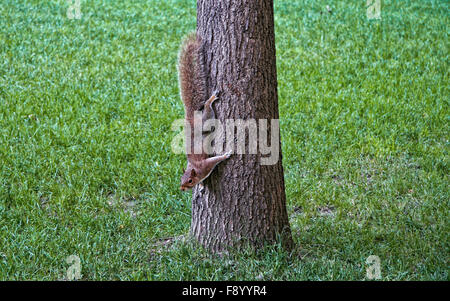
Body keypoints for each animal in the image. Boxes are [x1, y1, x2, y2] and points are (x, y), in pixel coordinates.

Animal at [178, 34, 232, 190]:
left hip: (204, 122)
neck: (194, 168)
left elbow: (215, 160)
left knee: (208, 111)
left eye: (190, 180)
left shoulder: (205, 166)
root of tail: (190, 116)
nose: (182, 188)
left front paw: (226, 155)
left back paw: (211, 100)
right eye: (181, 179)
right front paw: (202, 185)